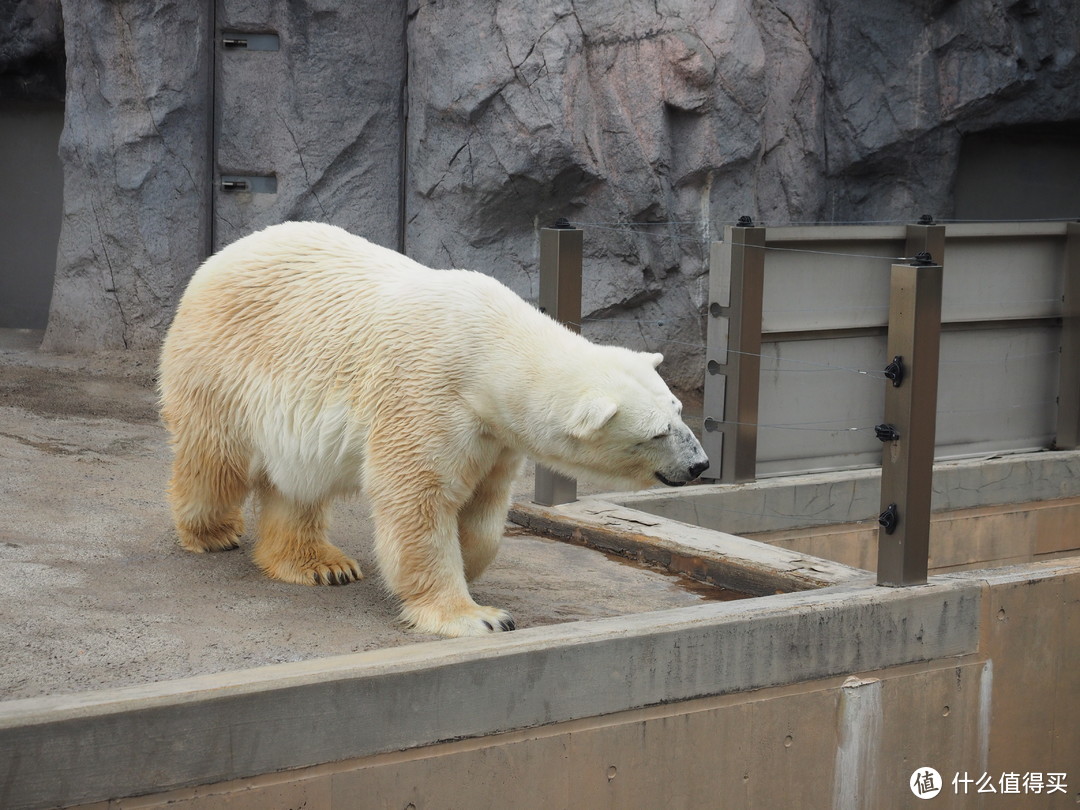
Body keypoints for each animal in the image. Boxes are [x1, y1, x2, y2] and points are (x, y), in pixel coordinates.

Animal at [157, 223, 708, 639]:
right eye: (658, 432)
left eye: (680, 410)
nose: (700, 464)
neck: (492, 347)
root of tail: (219, 257)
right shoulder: (427, 391)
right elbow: (416, 496)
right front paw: (479, 617)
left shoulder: (495, 433)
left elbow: (484, 505)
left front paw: (471, 563)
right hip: (224, 368)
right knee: (215, 462)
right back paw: (213, 532)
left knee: (298, 485)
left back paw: (321, 565)